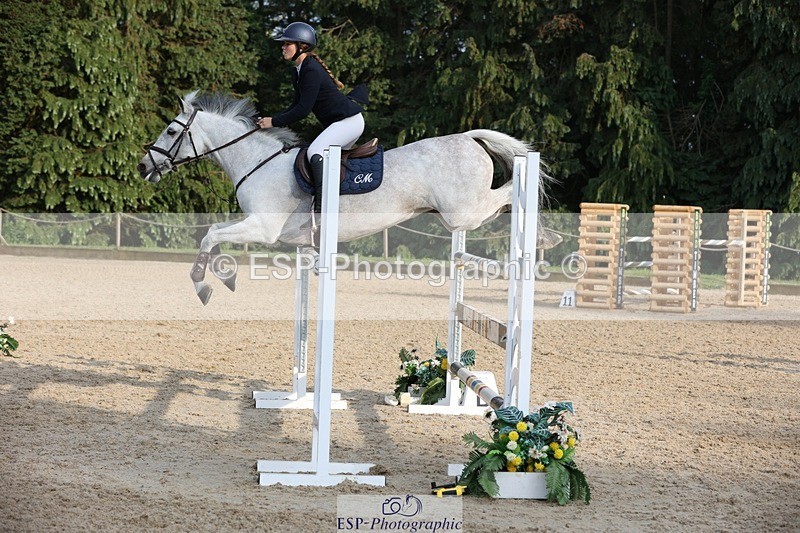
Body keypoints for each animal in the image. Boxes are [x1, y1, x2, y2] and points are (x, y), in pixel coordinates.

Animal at [138, 91, 554, 304]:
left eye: (171, 130)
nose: (144, 166)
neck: (256, 161)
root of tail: (468, 138)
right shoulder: (266, 230)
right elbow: (214, 233)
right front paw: (224, 278)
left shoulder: (263, 228)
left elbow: (210, 234)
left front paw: (205, 285)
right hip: (460, 216)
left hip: (461, 213)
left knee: (507, 193)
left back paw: (544, 234)